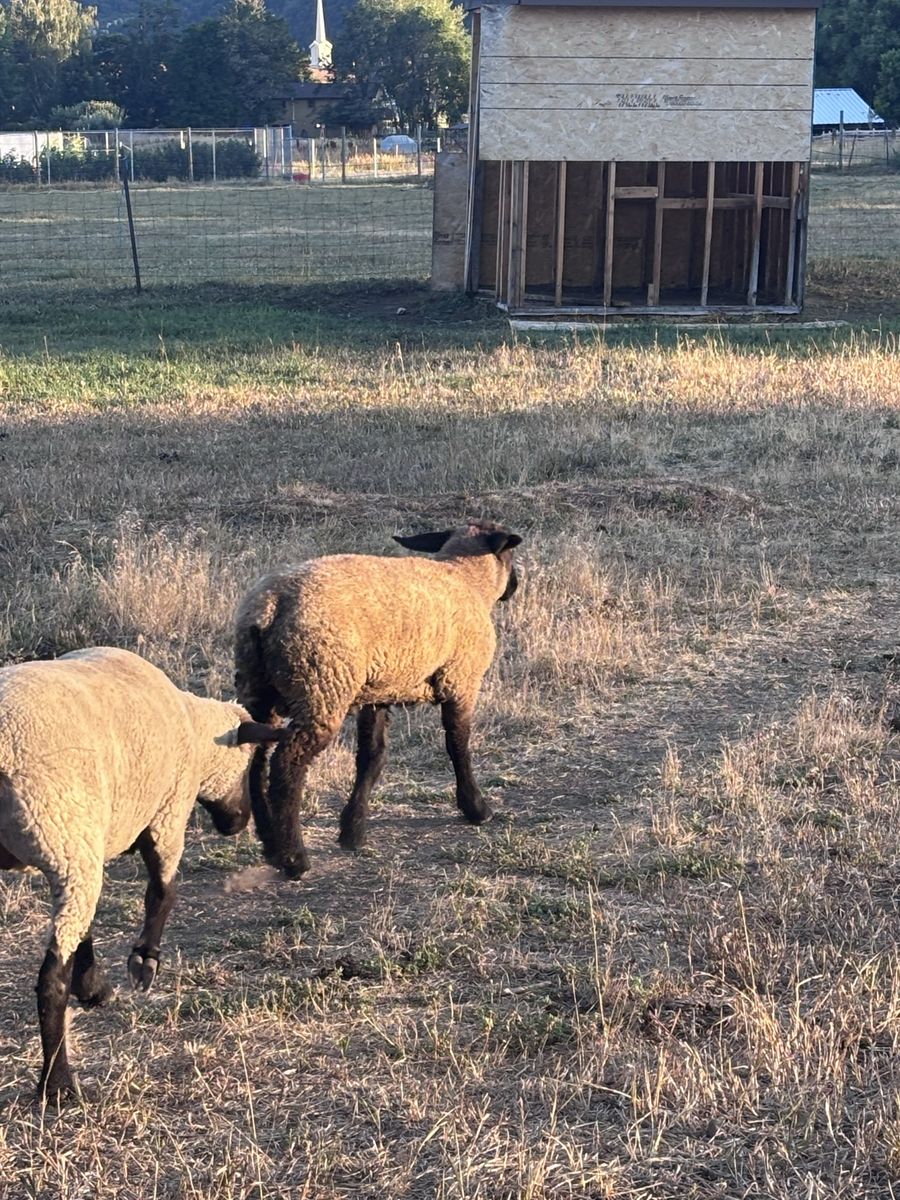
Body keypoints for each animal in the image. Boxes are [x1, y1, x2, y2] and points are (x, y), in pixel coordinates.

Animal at [0, 646, 281, 1103]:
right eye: (251, 760)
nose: (238, 823)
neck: (193, 728)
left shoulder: (89, 843)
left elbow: (87, 927)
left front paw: (93, 986)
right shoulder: (165, 813)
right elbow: (164, 890)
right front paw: (144, 962)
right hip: (63, 826)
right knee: (50, 981)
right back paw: (58, 1085)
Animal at [234, 520, 523, 878]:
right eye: (511, 555)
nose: (515, 586)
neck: (466, 578)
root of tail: (268, 606)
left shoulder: (379, 692)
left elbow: (372, 757)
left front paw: (353, 830)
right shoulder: (460, 681)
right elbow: (458, 746)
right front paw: (476, 808)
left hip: (258, 688)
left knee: (254, 760)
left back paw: (271, 844)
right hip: (322, 686)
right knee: (287, 766)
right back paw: (294, 858)